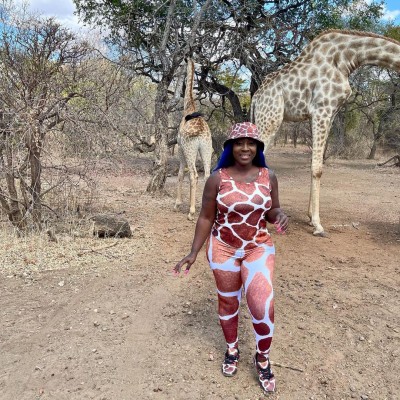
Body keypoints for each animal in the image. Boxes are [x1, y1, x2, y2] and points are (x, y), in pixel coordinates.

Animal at [251, 29, 400, 236]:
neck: (348, 58)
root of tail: (255, 98)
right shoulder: (322, 110)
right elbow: (317, 168)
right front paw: (318, 225)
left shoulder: (330, 113)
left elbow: (315, 163)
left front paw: (310, 218)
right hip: (270, 120)